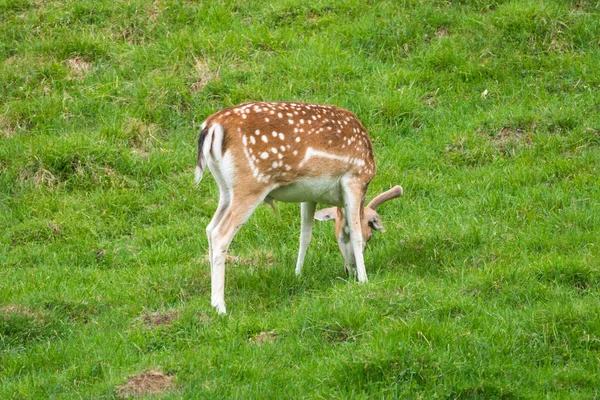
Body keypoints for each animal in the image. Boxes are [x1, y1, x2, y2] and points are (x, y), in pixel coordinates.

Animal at [197, 101, 404, 314]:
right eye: (370, 236)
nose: (350, 270)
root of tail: (212, 126)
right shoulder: (354, 179)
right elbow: (355, 232)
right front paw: (364, 281)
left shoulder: (309, 195)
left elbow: (305, 236)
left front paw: (297, 274)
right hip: (250, 185)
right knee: (220, 234)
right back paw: (220, 306)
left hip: (224, 188)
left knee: (210, 228)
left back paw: (212, 300)